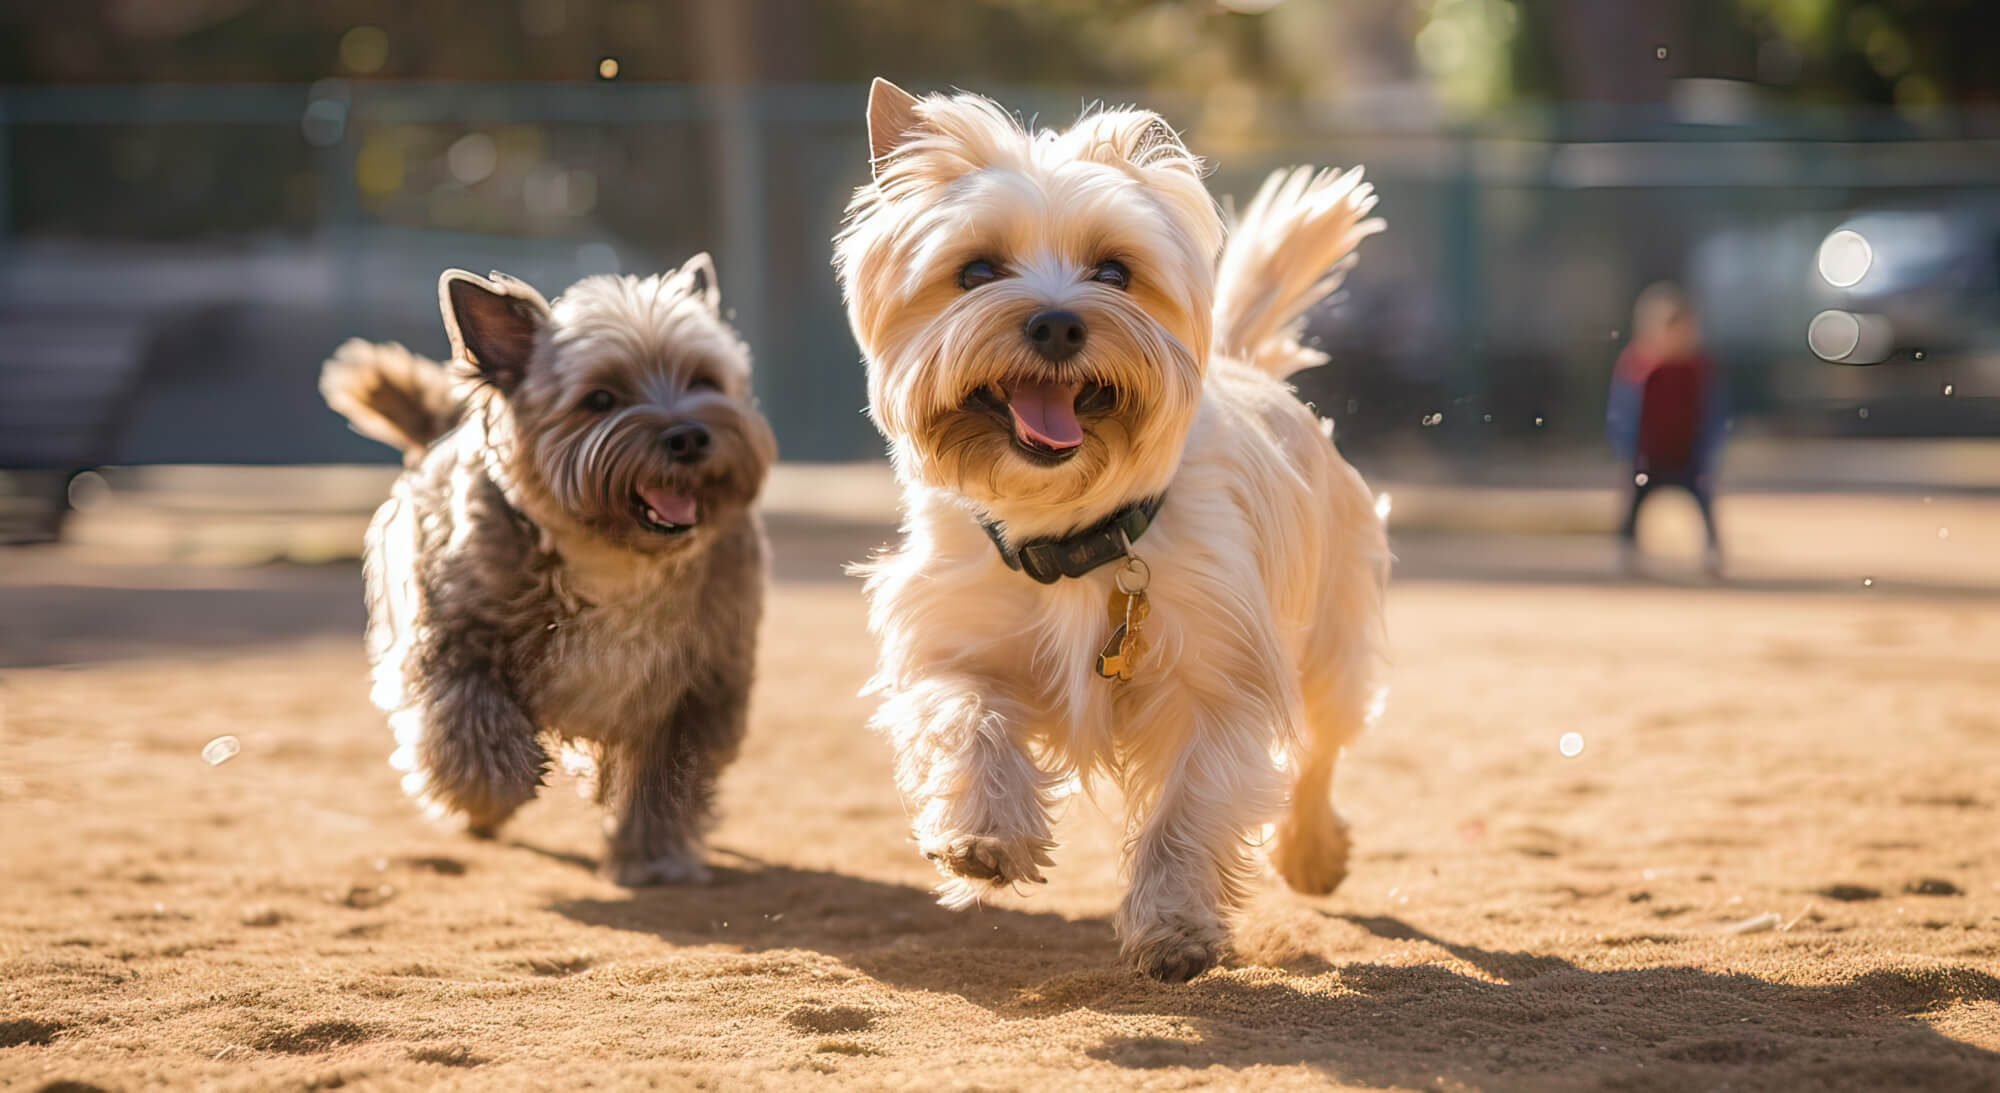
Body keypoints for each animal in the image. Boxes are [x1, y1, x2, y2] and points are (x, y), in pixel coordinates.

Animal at [318, 255, 772, 884]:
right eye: (600, 399)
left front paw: (655, 857)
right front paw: (492, 787)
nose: (688, 436)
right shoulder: (450, 640)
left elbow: (663, 781)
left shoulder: (699, 684)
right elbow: (466, 720)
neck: (612, 558)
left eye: (703, 380)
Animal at [832, 81, 1392, 972]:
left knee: (1322, 744)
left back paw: (1311, 849)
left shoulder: (1217, 678)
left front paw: (1174, 925)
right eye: (976, 270)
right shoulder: (951, 640)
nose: (1059, 322)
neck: (1069, 531)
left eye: (1114, 272)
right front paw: (984, 833)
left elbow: (1188, 811)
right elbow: (967, 718)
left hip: (1332, 637)